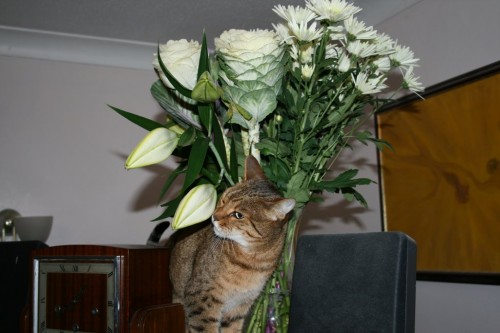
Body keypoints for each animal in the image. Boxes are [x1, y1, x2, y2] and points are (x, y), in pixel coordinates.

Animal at [168, 156, 294, 332]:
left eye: (238, 215)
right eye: (223, 200)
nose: (214, 217)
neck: (252, 261)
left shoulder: (240, 307)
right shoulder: (201, 298)